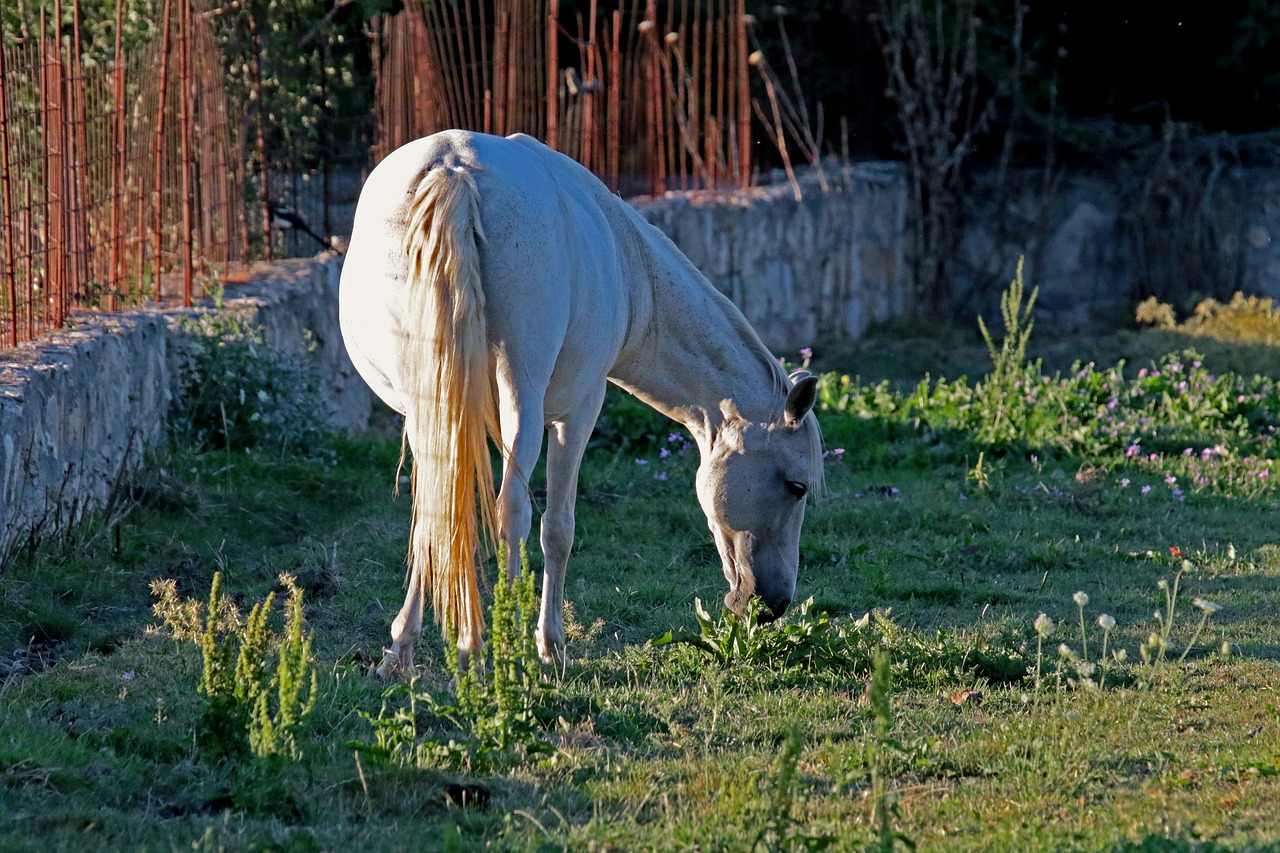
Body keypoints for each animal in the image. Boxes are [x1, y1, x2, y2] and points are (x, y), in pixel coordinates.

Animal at [340, 129, 819, 676]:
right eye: (797, 486)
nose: (774, 605)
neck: (632, 270)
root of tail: (453, 169)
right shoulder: (578, 411)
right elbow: (558, 528)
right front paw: (550, 645)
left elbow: (438, 515)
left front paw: (402, 648)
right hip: (521, 402)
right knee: (513, 512)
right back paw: (497, 653)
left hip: (432, 405)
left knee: (438, 511)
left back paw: (410, 652)